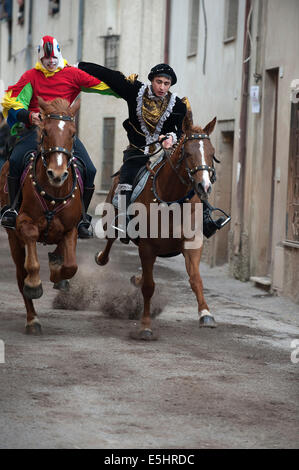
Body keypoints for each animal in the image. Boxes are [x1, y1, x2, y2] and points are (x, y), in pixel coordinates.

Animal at [0, 97, 82, 336]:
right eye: (45, 131)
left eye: (73, 134)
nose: (57, 174)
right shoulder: (23, 224)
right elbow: (32, 262)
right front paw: (35, 284)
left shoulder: (71, 229)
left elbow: (70, 266)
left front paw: (57, 273)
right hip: (13, 239)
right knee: (21, 275)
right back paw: (32, 319)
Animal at [96, 108, 220, 340]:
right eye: (187, 153)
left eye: (211, 153)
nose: (204, 186)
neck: (172, 201)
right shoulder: (147, 247)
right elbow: (149, 287)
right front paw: (145, 326)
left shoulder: (192, 244)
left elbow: (195, 279)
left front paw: (206, 314)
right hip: (111, 217)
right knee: (109, 242)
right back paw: (101, 257)